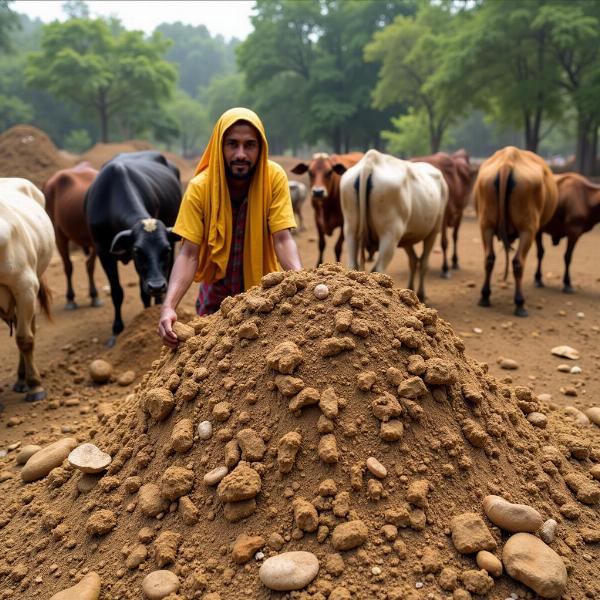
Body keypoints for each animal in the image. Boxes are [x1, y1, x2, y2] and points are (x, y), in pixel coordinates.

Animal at [42, 162, 100, 310]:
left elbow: (90, 265)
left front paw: (94, 296)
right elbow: (72, 266)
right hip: (59, 235)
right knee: (68, 266)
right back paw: (70, 298)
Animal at [84, 150, 182, 346]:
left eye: (166, 250)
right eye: (137, 251)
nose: (157, 286)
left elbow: (144, 293)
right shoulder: (103, 253)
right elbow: (117, 292)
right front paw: (117, 330)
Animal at [340, 150, 448, 300]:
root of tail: (370, 162)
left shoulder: (407, 238)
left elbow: (413, 261)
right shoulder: (433, 232)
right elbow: (423, 263)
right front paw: (420, 294)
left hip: (350, 229)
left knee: (352, 265)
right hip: (390, 235)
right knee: (379, 270)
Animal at [474, 146, 556, 316]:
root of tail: (508, 161)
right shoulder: (537, 228)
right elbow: (540, 252)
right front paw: (538, 279)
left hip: (486, 224)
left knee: (489, 258)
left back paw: (485, 296)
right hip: (527, 229)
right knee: (518, 262)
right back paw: (520, 303)